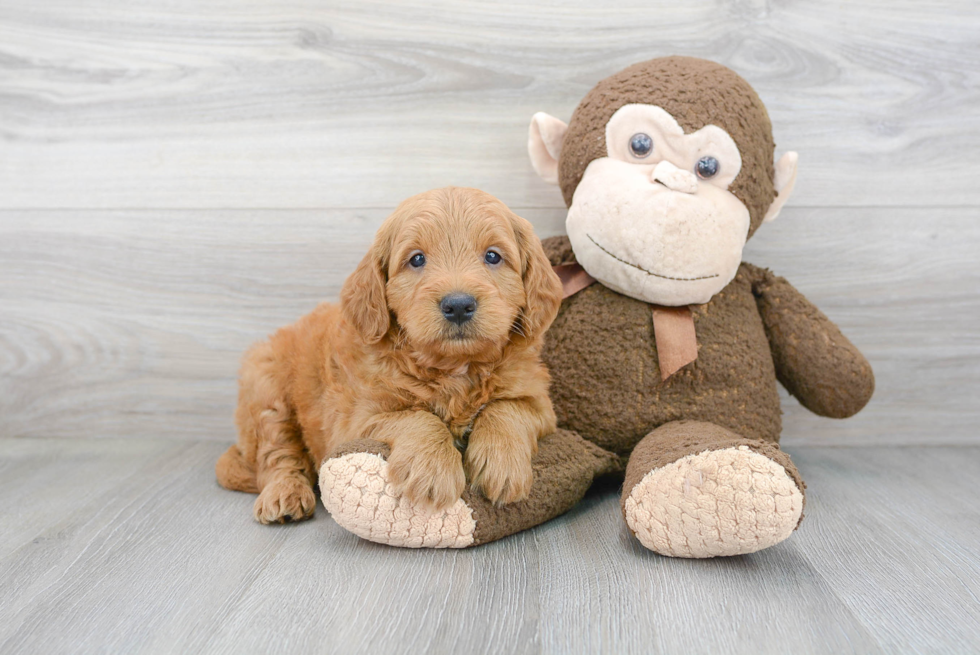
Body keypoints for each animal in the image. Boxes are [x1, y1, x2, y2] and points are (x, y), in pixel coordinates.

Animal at [217, 187, 564, 524]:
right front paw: (432, 470)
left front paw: (502, 463)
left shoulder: (540, 402)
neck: (453, 369)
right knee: (278, 455)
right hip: (267, 391)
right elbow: (416, 417)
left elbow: (507, 408)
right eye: (417, 259)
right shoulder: (354, 421)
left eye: (493, 256)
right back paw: (284, 494)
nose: (458, 305)